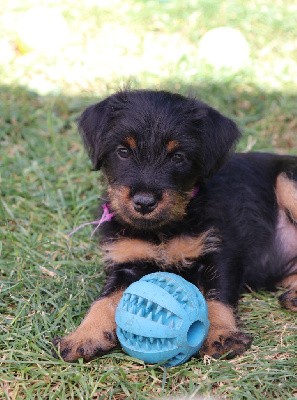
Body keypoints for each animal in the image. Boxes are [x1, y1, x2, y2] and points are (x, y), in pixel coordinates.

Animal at [53, 90, 296, 362]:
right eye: (123, 151)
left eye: (178, 157)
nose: (144, 202)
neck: (164, 228)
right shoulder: (125, 262)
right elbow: (104, 300)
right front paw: (84, 335)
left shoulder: (221, 252)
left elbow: (217, 296)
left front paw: (221, 335)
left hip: (287, 179)